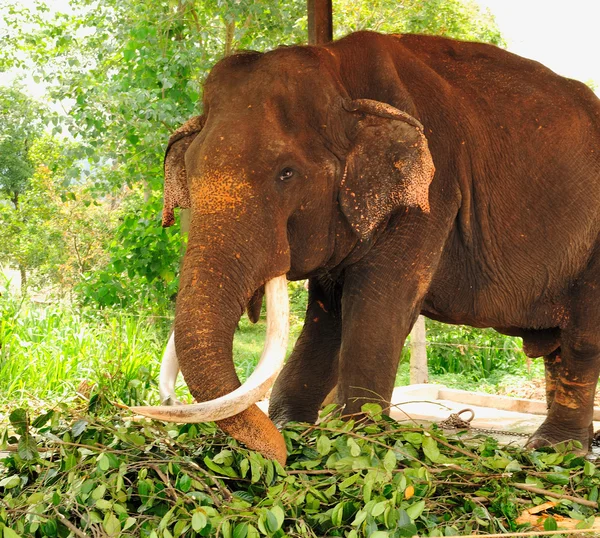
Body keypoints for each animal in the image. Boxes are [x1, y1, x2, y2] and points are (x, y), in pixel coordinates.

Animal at [134, 31, 600, 462]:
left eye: (286, 173)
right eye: (190, 170)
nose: (277, 459)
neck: (339, 71)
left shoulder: (433, 193)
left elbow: (379, 305)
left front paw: (356, 442)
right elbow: (327, 316)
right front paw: (293, 427)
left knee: (581, 339)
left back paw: (554, 449)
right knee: (558, 346)